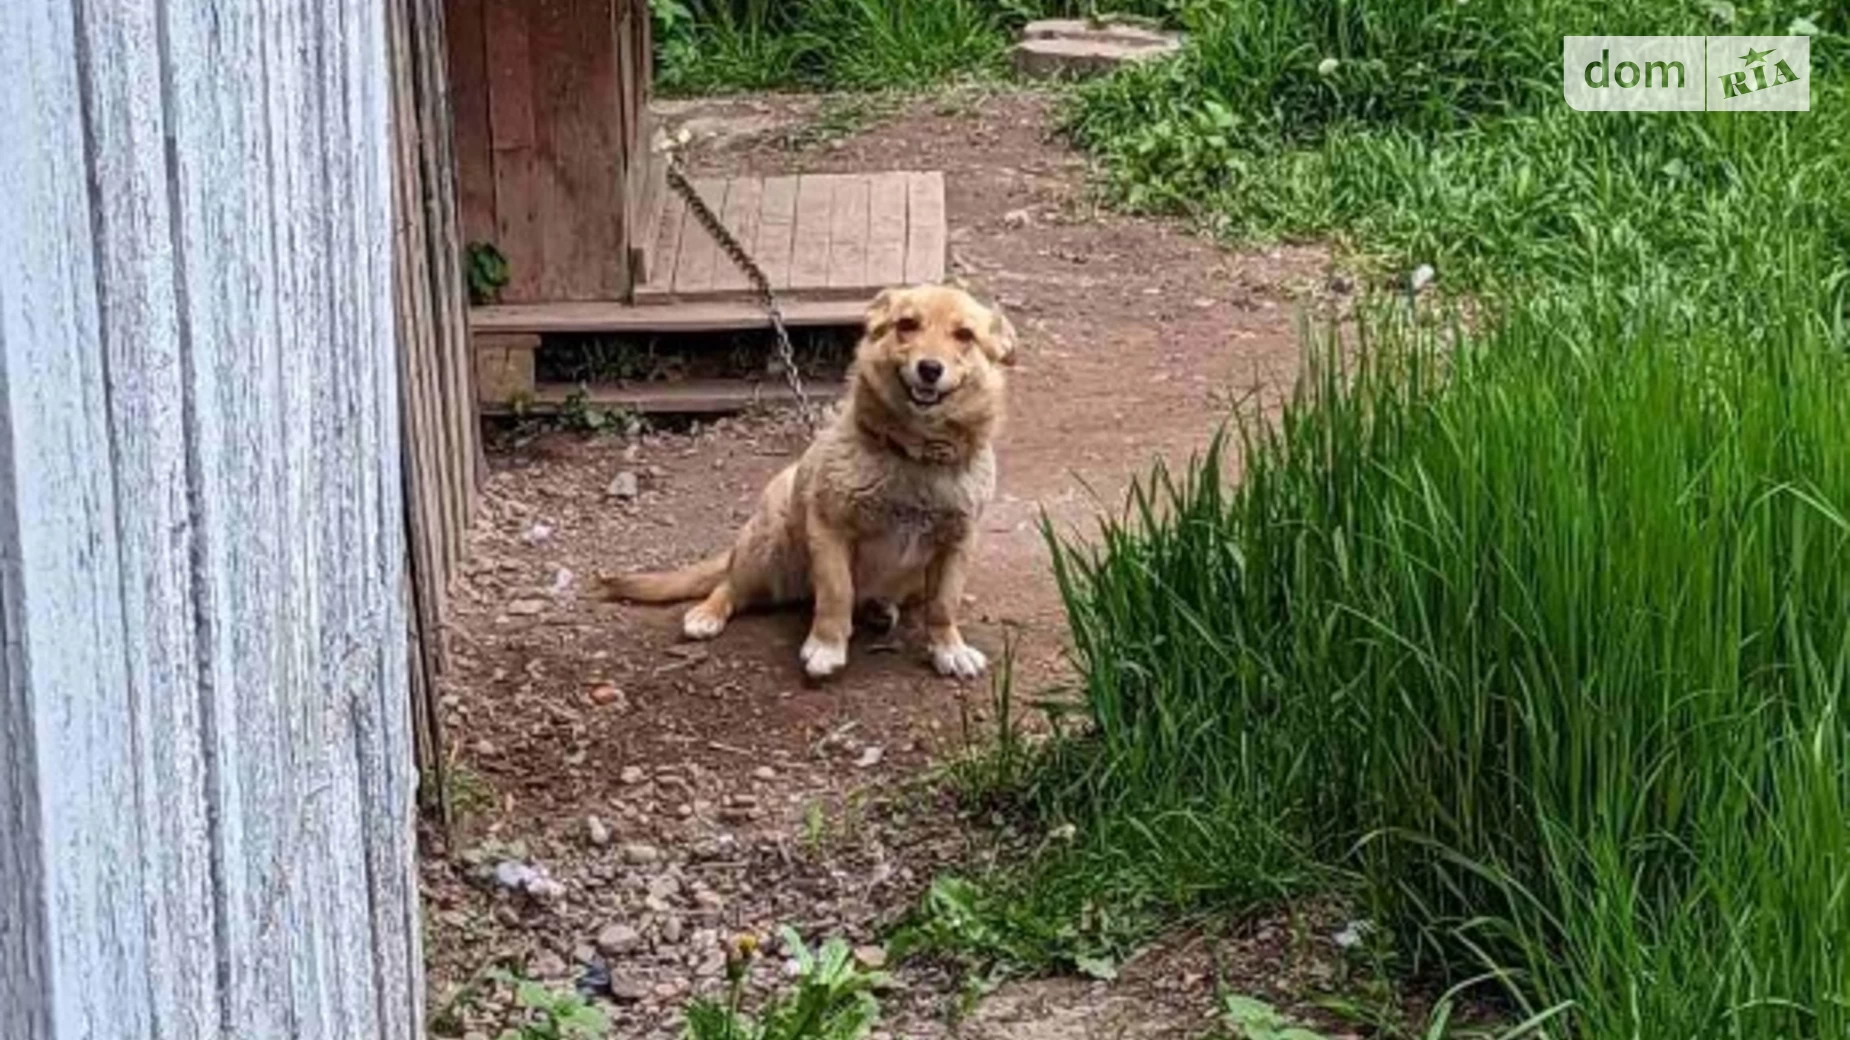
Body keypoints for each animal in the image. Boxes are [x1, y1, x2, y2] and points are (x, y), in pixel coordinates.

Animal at [599, 279, 1013, 677]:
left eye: (964, 335)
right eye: (907, 325)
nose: (930, 368)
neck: (915, 455)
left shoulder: (956, 545)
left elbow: (944, 604)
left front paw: (949, 648)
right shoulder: (831, 531)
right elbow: (836, 593)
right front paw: (827, 645)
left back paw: (879, 608)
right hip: (767, 547)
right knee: (729, 586)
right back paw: (708, 613)